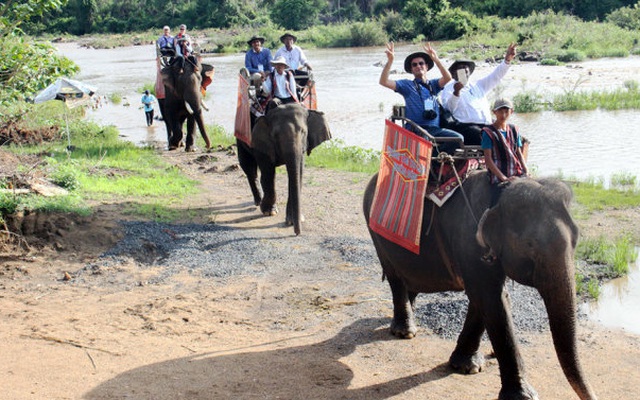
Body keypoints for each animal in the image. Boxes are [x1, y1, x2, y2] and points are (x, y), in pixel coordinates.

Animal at [238, 103, 332, 236]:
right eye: (275, 135)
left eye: (303, 132)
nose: (297, 233)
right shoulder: (262, 143)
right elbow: (268, 174)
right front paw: (269, 212)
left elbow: (298, 175)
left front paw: (292, 221)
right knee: (248, 166)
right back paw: (258, 201)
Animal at [364, 173, 600, 400]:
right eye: (530, 245)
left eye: (576, 241)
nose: (593, 396)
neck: (501, 192)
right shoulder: (469, 241)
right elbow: (490, 298)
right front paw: (523, 396)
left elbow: (486, 299)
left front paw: (466, 367)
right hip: (375, 233)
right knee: (395, 277)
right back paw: (405, 332)